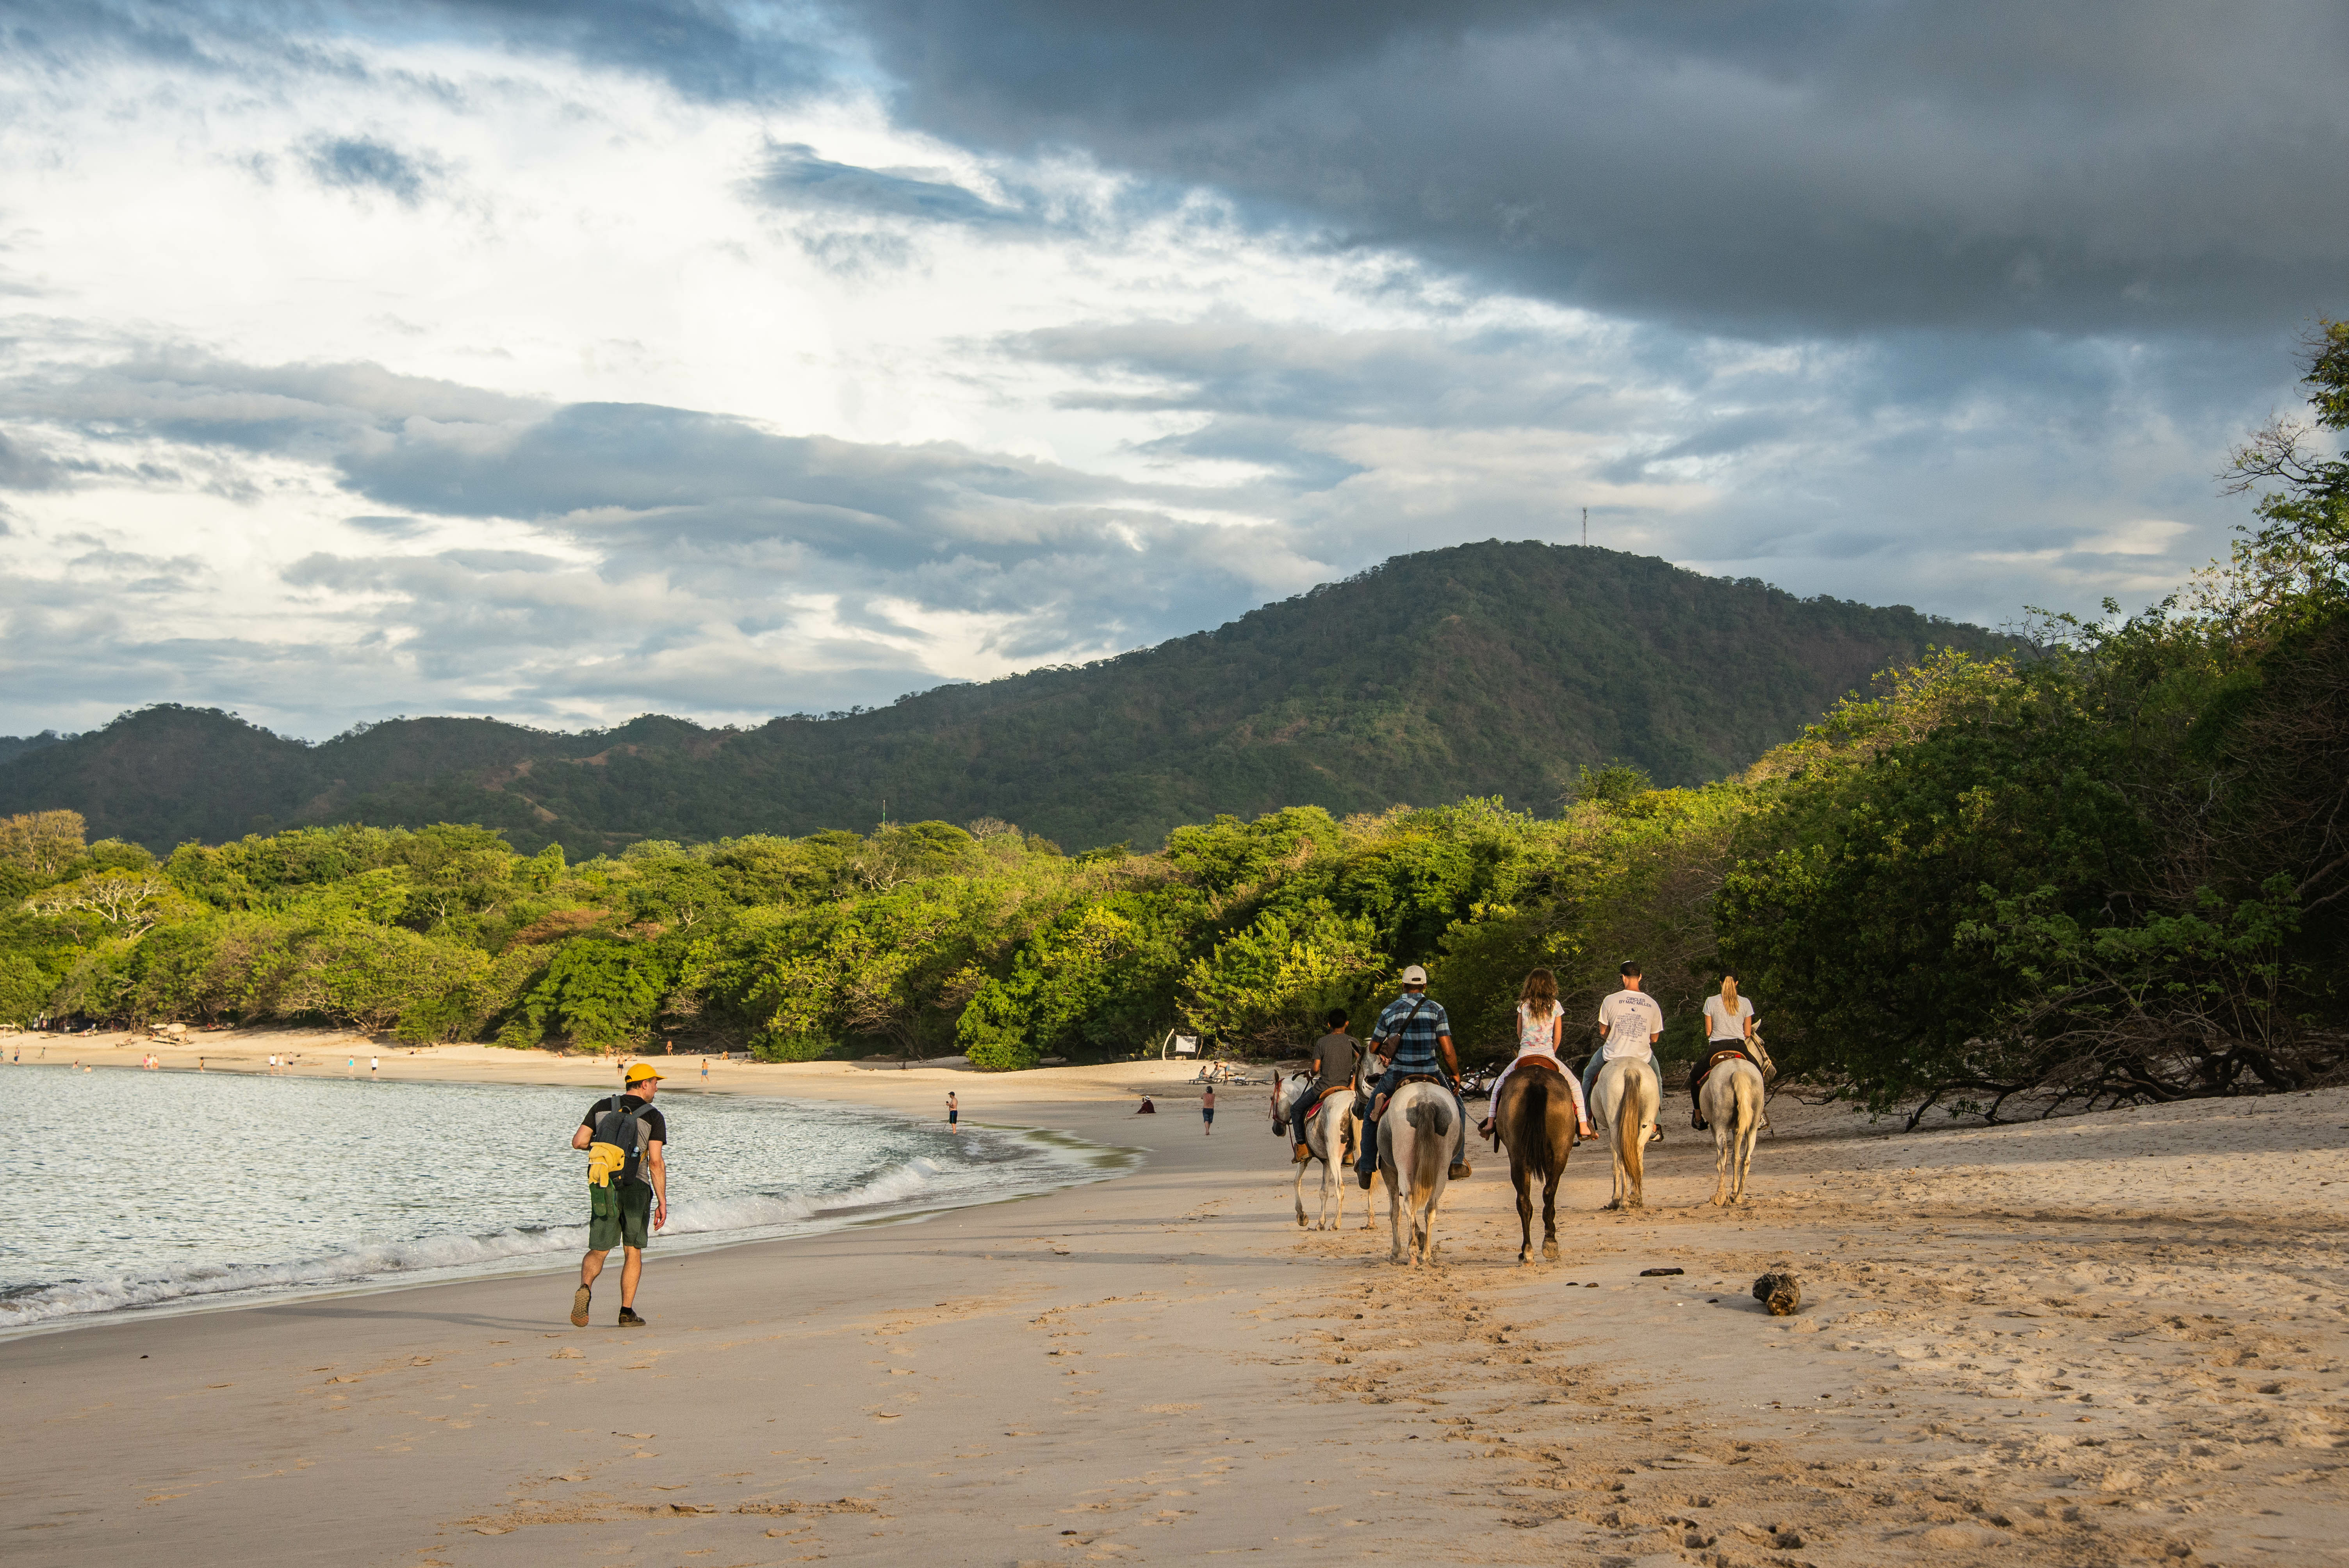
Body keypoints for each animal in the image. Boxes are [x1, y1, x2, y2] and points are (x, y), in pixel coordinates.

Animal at [1278, 1070, 1372, 1230]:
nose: (1277, 1129)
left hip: (1335, 1158)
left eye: (1273, 1098)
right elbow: (1324, 1191)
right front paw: (1321, 1222)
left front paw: (1302, 1215)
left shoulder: (1306, 1158)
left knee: (1340, 1187)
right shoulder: (1326, 1162)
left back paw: (1336, 1223)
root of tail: (1351, 1103)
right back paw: (1370, 1222)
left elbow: (1297, 1181)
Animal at [1372, 1080, 1456, 1258]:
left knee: (1408, 1204)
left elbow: (1395, 1212)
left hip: (1404, 1168)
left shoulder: (1389, 1172)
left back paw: (1412, 1250)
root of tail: (1426, 1102)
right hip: (1442, 1170)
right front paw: (1420, 1237)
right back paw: (1426, 1254)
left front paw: (1396, 1251)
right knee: (1431, 1207)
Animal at [1485, 1061, 1578, 1267]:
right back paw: (1543, 1245)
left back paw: (1531, 1249)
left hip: (1522, 1158)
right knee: (1544, 1194)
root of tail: (1536, 1081)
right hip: (1558, 1153)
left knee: (1528, 1200)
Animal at [1588, 1051, 1663, 1211]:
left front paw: (1614, 1200)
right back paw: (1636, 1198)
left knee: (1622, 1160)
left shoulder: (1610, 1131)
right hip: (1646, 1125)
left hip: (1616, 1128)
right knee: (1638, 1156)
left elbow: (1615, 1166)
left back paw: (1624, 1201)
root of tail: (1631, 1070)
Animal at [1710, 1061, 1766, 1211]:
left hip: (1721, 1125)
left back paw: (1720, 1195)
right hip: (1752, 1128)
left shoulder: (1714, 1127)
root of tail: (1739, 1072)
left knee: (1723, 1155)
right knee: (1746, 1159)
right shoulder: (1738, 1128)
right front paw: (1734, 1192)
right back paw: (1739, 1197)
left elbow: (1722, 1159)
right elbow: (1736, 1158)